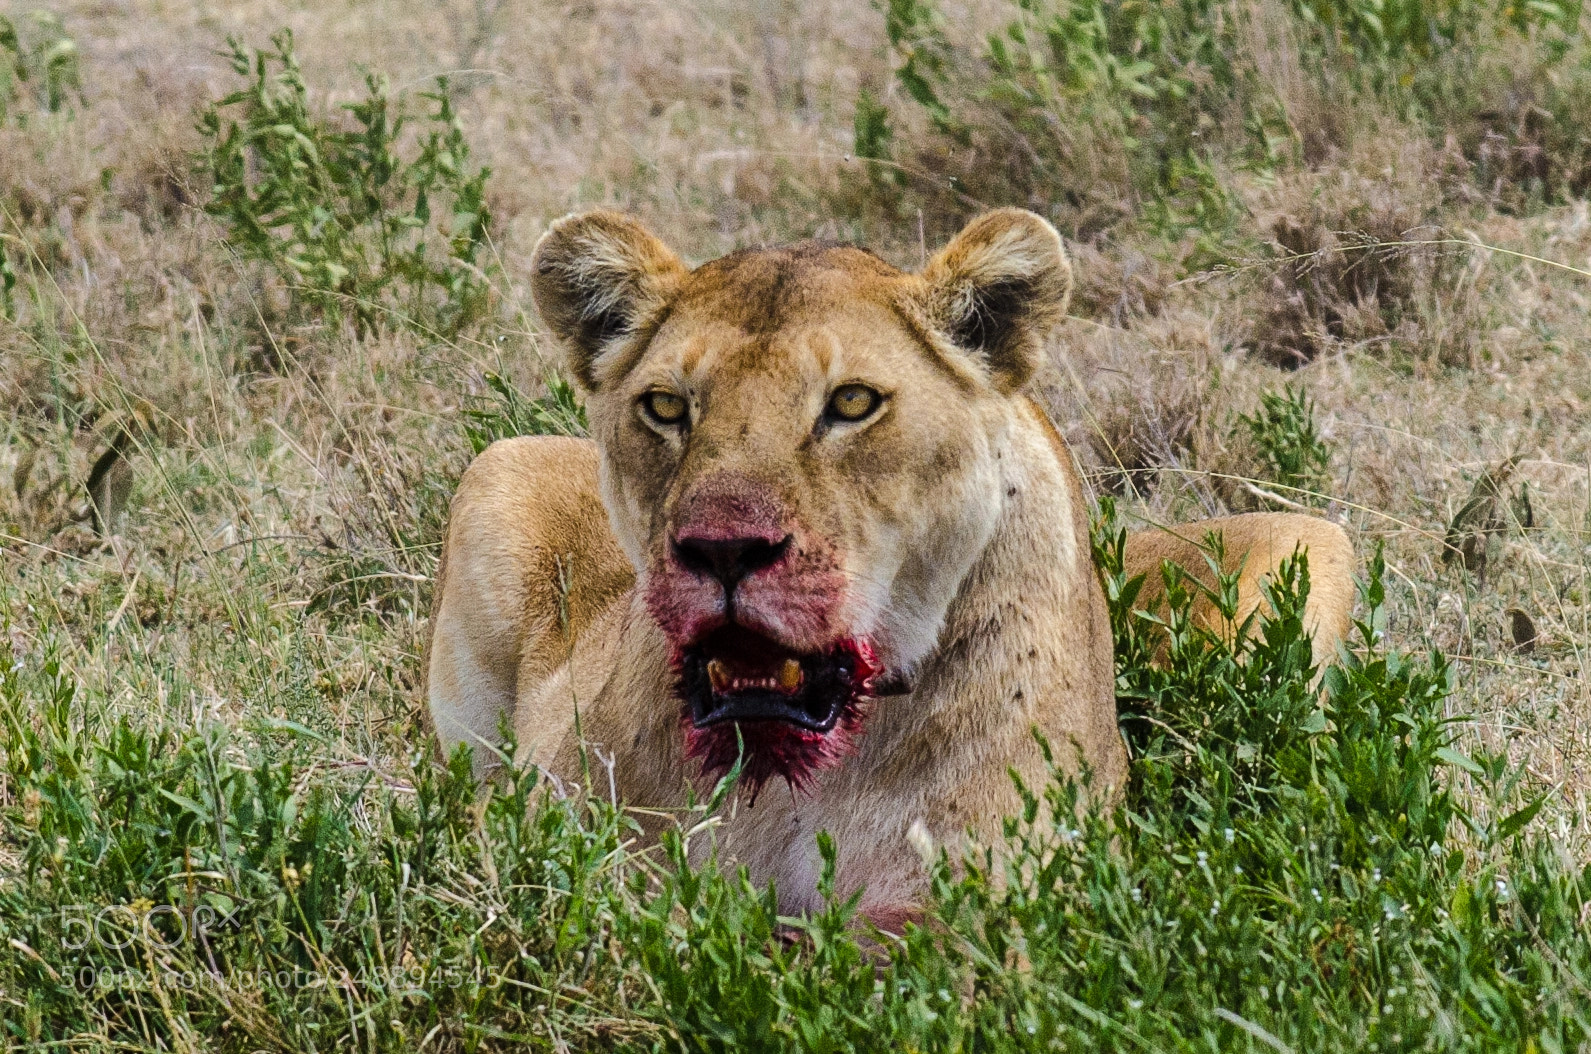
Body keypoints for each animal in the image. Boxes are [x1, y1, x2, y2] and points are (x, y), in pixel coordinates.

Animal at [424, 208, 1355, 925]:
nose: (723, 548)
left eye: (851, 403)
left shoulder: (986, 906)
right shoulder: (562, 847)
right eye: (665, 407)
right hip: (498, 467)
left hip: (1306, 542)